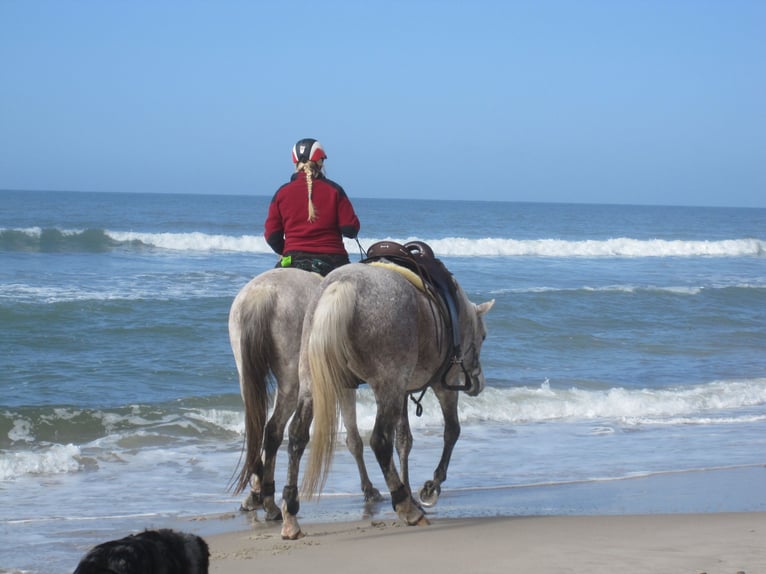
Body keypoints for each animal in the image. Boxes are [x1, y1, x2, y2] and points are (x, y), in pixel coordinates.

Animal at [282, 264, 498, 544]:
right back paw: (405, 507)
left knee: (297, 436)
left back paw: (290, 514)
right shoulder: (444, 385)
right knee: (379, 441)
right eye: (483, 336)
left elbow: (404, 441)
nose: (478, 383)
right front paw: (431, 488)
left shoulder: (402, 391)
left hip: (313, 384)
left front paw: (411, 489)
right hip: (387, 385)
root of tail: (343, 285)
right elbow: (452, 431)